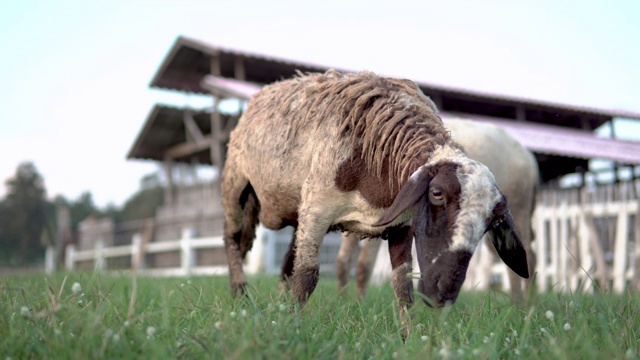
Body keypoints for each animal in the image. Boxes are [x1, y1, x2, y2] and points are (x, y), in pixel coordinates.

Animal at [328, 118, 536, 300]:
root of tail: (528, 158)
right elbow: (343, 261)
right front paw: (344, 303)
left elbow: (364, 264)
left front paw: (358, 304)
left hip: (517, 211)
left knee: (528, 256)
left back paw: (525, 307)